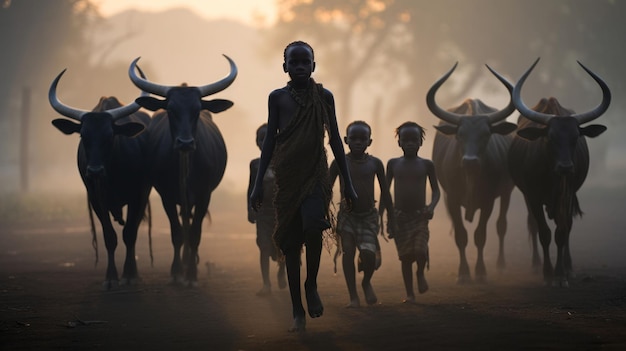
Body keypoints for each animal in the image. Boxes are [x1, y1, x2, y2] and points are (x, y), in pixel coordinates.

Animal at [48, 69, 151, 292]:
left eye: (109, 136)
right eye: (83, 136)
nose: (94, 171)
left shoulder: (138, 194)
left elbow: (130, 233)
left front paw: (130, 275)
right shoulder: (96, 198)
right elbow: (109, 237)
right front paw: (111, 278)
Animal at [128, 55, 235, 286]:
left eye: (197, 110)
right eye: (171, 110)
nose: (185, 142)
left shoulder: (204, 195)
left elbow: (194, 233)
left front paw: (192, 274)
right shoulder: (166, 196)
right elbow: (177, 233)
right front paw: (177, 272)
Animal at [426, 62, 516, 284]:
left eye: (486, 134)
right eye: (460, 134)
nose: (470, 161)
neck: (470, 179)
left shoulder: (488, 201)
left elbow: (480, 235)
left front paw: (481, 272)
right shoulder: (451, 199)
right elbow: (461, 235)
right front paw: (464, 273)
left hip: (507, 193)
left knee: (501, 225)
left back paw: (501, 265)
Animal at [510, 58, 608, 288]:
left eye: (575, 137)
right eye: (550, 137)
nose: (565, 167)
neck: (550, 176)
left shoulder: (568, 194)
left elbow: (562, 232)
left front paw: (561, 274)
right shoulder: (533, 197)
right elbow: (544, 232)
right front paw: (548, 274)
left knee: (567, 227)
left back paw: (569, 267)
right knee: (533, 225)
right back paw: (536, 265)